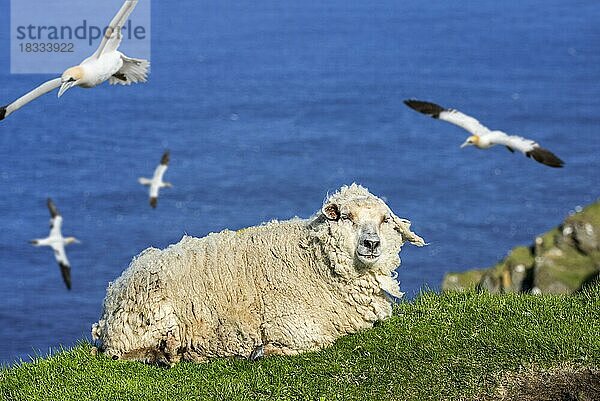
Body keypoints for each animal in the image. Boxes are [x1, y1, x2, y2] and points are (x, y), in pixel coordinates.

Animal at [91, 183, 424, 364]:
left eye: (384, 220)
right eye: (346, 216)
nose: (372, 243)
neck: (314, 259)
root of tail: (114, 290)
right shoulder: (293, 324)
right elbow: (315, 342)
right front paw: (262, 351)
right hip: (149, 318)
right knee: (119, 353)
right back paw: (165, 354)